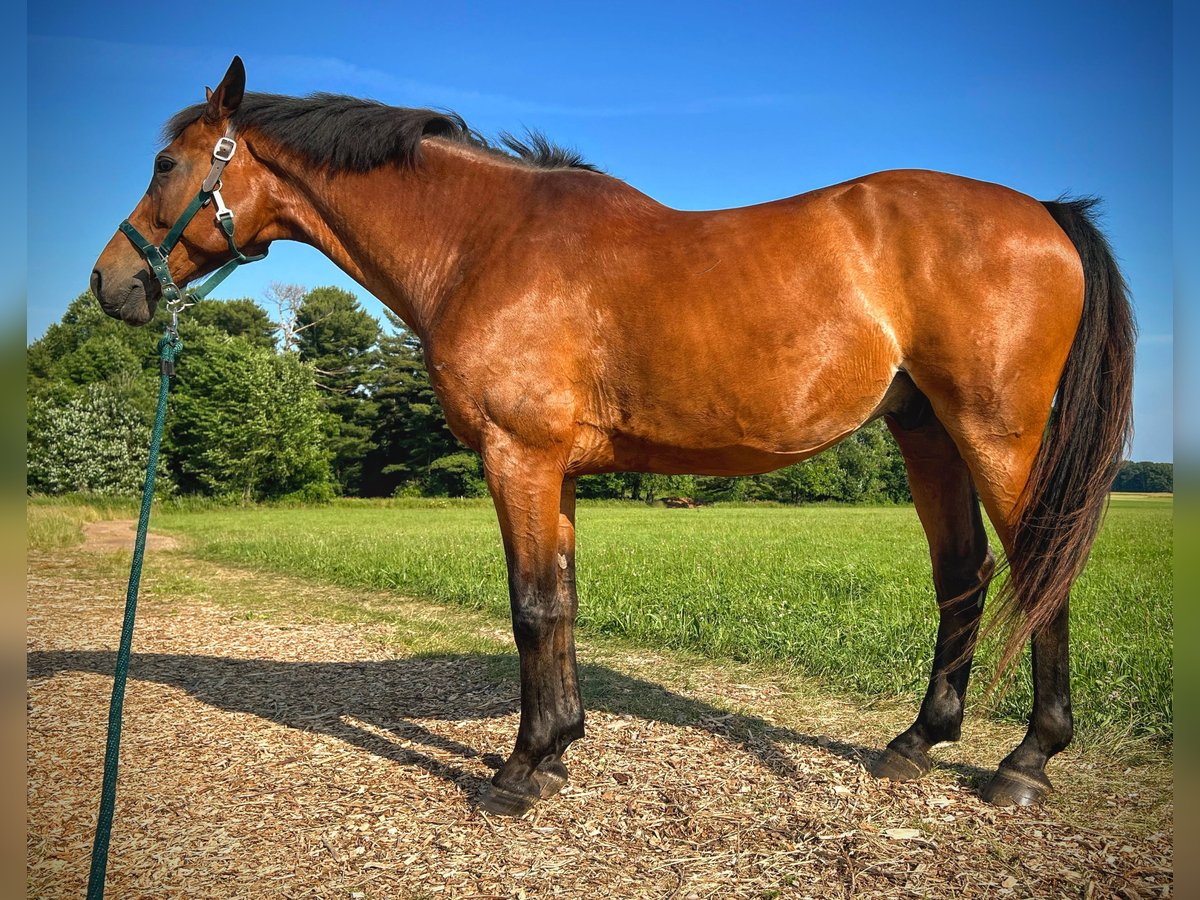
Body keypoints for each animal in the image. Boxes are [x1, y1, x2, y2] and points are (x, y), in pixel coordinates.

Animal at [91, 56, 1132, 816]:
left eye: (166, 166)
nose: (112, 285)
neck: (482, 242)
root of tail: (1044, 214)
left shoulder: (516, 455)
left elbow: (529, 608)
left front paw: (518, 773)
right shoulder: (556, 470)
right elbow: (563, 601)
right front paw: (558, 750)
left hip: (995, 434)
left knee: (1039, 569)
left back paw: (1026, 762)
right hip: (927, 434)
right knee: (965, 576)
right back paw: (917, 743)